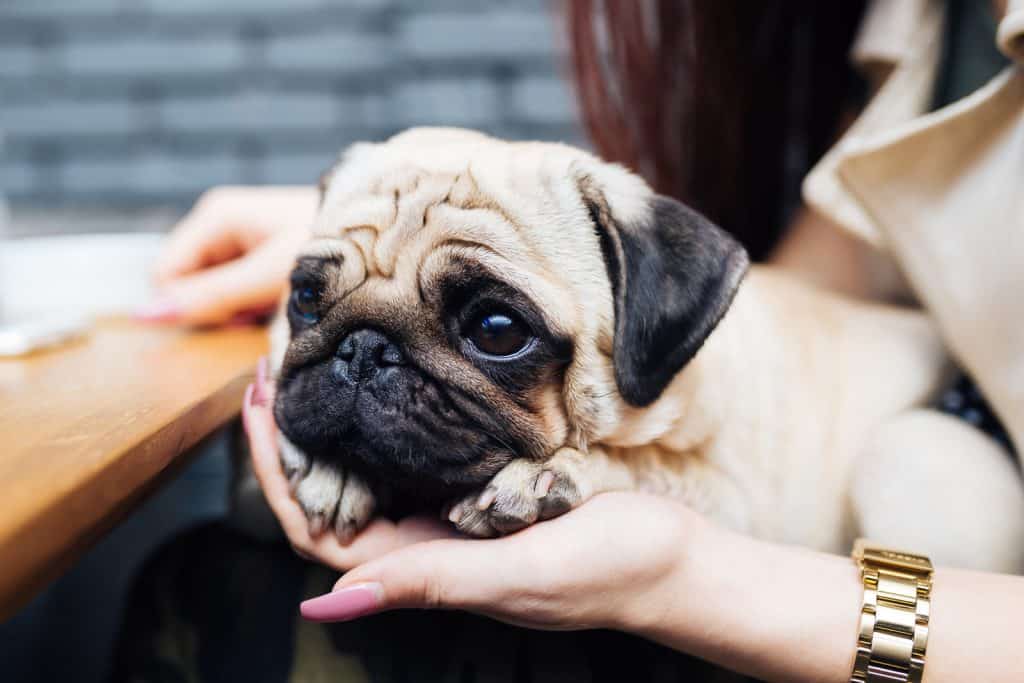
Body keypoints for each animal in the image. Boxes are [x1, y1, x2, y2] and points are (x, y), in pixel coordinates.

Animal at [270, 127, 1024, 573]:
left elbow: (640, 466)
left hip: (911, 449)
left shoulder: (731, 501)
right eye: (305, 296)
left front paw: (552, 475)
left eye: (496, 330)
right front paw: (336, 470)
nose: (366, 347)